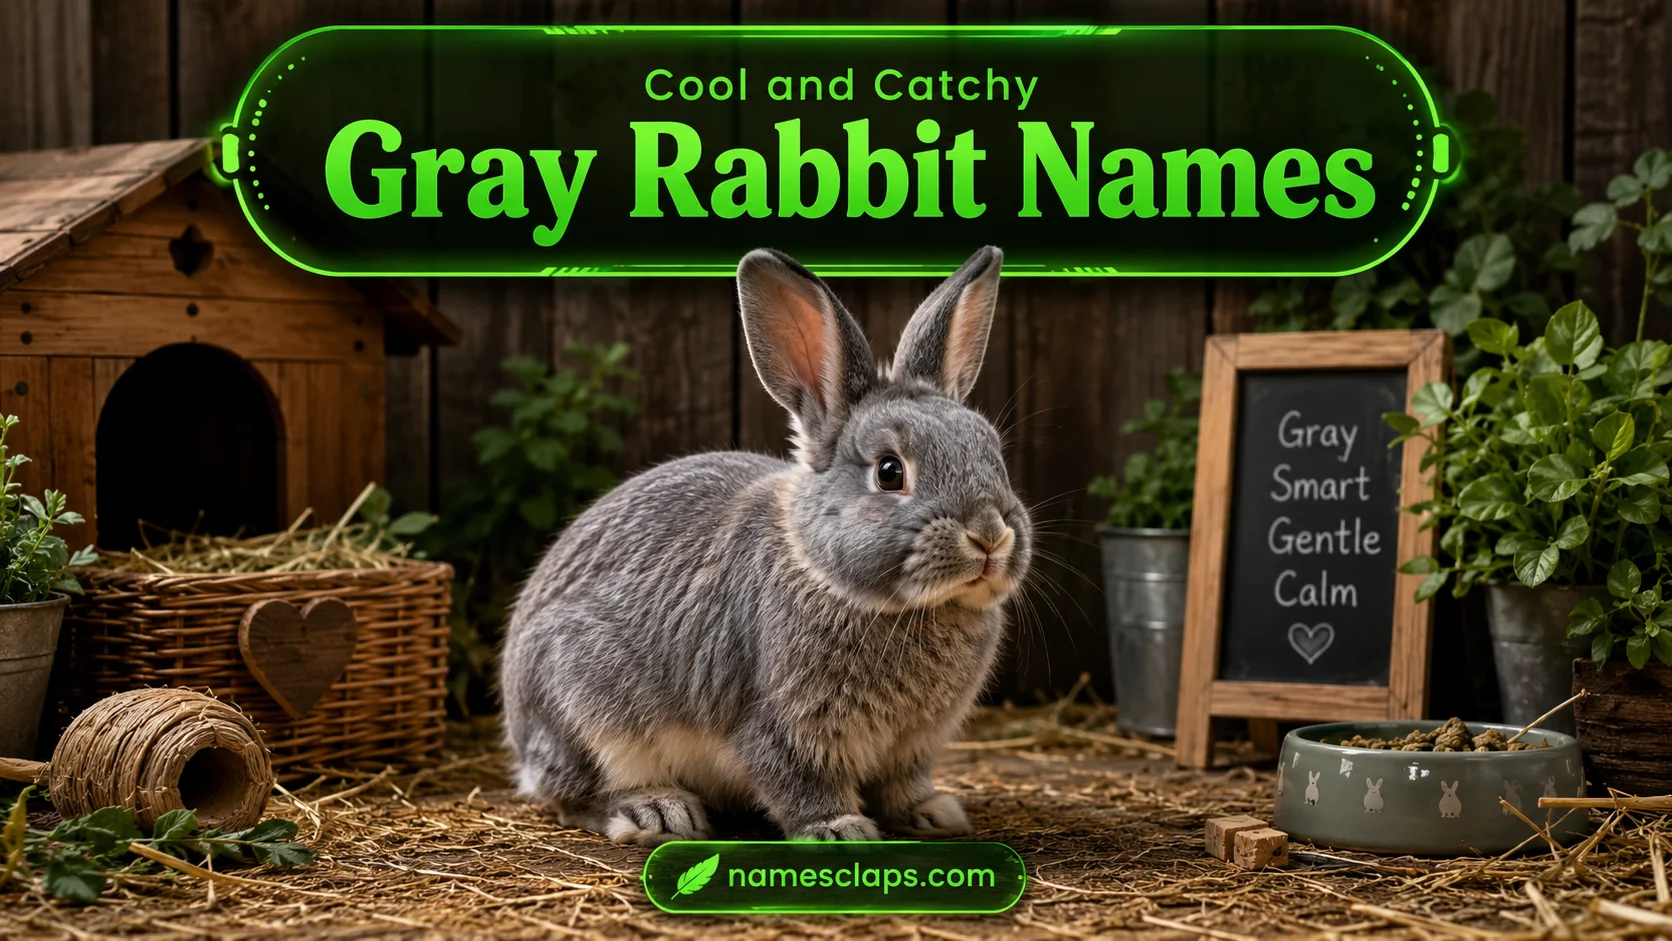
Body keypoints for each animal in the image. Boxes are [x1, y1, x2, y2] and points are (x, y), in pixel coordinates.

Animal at [499, 247, 1032, 846]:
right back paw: (655, 812)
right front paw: (839, 830)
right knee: (573, 794)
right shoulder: (779, 723)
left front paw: (933, 814)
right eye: (890, 472)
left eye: (993, 453)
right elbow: (797, 780)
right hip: (580, 707)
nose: (989, 534)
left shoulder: (913, 745)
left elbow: (904, 782)